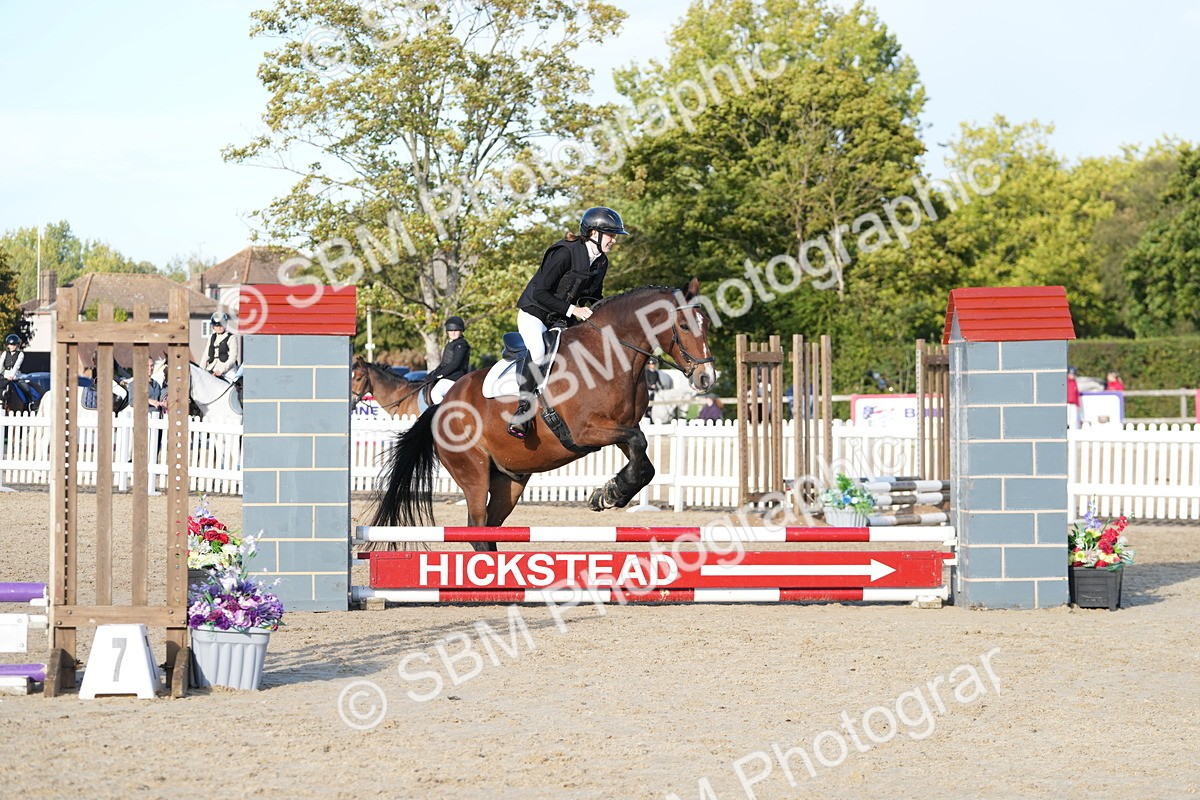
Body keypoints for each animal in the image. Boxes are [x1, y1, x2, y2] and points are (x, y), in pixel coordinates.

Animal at [371, 279, 715, 551]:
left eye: (707, 325)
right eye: (684, 326)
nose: (707, 378)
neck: (610, 354)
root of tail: (440, 406)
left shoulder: (620, 428)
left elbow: (643, 461)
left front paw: (609, 493)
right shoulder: (586, 431)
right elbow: (639, 443)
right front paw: (609, 494)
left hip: (509, 478)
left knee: (491, 526)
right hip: (473, 471)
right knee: (477, 526)